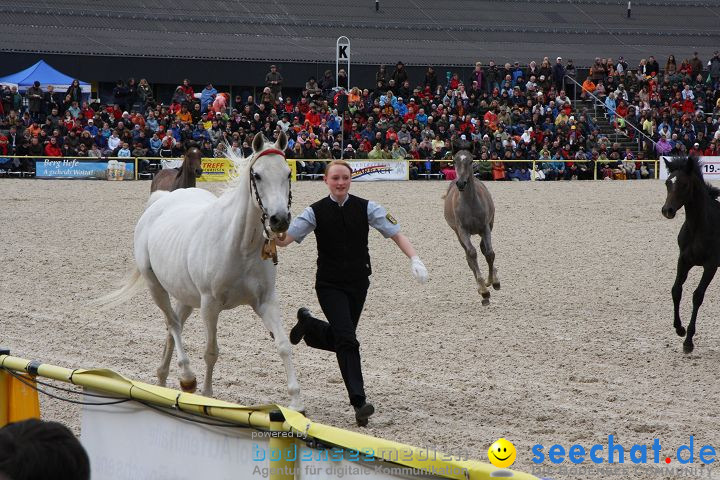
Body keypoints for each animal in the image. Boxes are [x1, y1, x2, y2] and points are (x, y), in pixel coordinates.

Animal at [93, 133, 304, 410]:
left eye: (288, 173)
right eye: (257, 175)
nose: (280, 219)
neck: (240, 245)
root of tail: (160, 202)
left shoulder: (266, 302)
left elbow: (283, 345)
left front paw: (296, 402)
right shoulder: (210, 305)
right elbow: (211, 351)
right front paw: (207, 394)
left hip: (185, 297)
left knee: (172, 328)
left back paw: (162, 378)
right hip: (156, 287)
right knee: (172, 324)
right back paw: (186, 377)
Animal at [442, 149, 498, 304]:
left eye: (471, 160)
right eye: (454, 161)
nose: (461, 183)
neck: (470, 203)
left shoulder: (485, 227)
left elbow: (490, 253)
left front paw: (492, 281)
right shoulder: (462, 231)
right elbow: (472, 254)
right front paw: (484, 290)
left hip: (489, 225)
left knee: (484, 248)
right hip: (458, 233)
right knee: (469, 255)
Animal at [664, 157, 720, 352]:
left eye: (684, 184)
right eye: (668, 182)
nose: (667, 210)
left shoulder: (711, 265)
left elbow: (697, 296)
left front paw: (688, 341)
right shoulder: (684, 260)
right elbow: (676, 290)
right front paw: (679, 329)